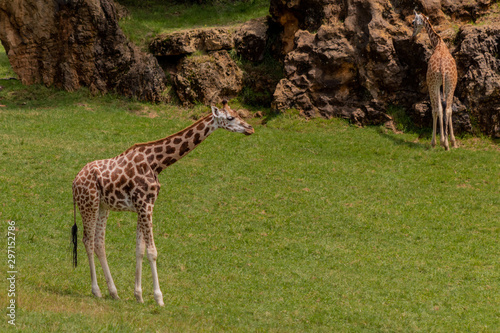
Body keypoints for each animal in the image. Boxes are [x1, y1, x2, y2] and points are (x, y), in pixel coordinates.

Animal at [71, 100, 254, 304]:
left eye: (238, 114)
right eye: (230, 117)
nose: (250, 128)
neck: (157, 163)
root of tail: (74, 182)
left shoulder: (143, 206)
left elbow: (139, 250)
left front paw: (139, 295)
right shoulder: (145, 205)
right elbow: (152, 252)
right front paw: (159, 298)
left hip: (103, 207)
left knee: (98, 243)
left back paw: (113, 292)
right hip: (89, 204)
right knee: (88, 240)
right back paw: (96, 291)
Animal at [410, 10, 458, 150]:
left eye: (413, 22)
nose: (412, 35)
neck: (438, 43)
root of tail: (442, 69)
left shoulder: (433, 84)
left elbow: (435, 110)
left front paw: (437, 142)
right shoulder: (445, 85)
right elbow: (447, 109)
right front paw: (450, 141)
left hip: (433, 84)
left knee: (437, 109)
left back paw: (440, 142)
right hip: (451, 83)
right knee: (448, 109)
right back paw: (450, 143)